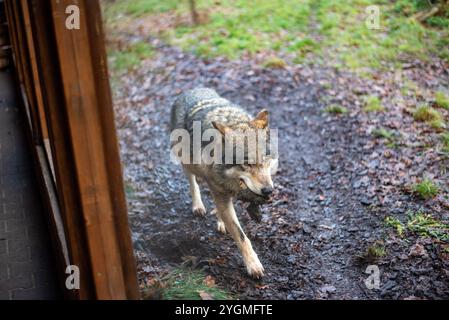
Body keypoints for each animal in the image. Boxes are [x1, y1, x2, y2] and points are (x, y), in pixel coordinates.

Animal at [171, 87, 276, 278]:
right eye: (246, 164)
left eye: (265, 159)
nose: (268, 191)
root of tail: (193, 89)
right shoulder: (219, 190)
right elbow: (242, 236)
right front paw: (253, 265)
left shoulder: (226, 192)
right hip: (187, 163)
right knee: (192, 182)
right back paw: (198, 206)